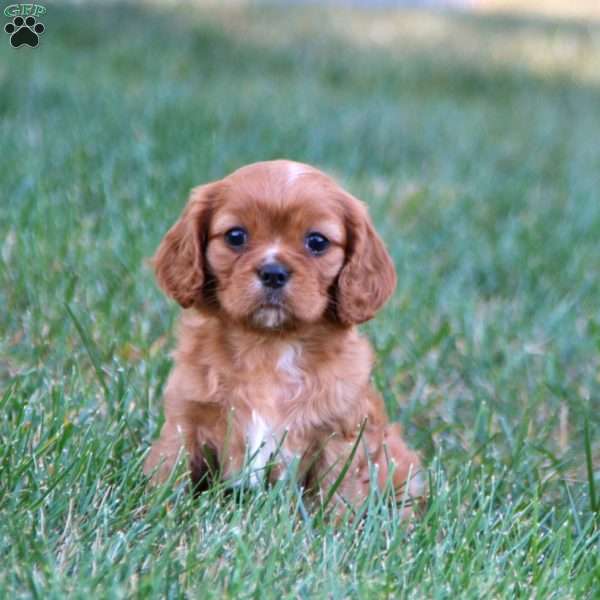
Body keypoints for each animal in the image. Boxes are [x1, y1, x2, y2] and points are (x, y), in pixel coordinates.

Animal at [146, 162, 424, 512]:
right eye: (235, 236)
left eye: (317, 241)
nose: (274, 272)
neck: (269, 344)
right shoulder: (185, 418)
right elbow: (170, 469)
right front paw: (158, 509)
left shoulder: (339, 436)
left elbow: (337, 492)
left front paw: (334, 524)